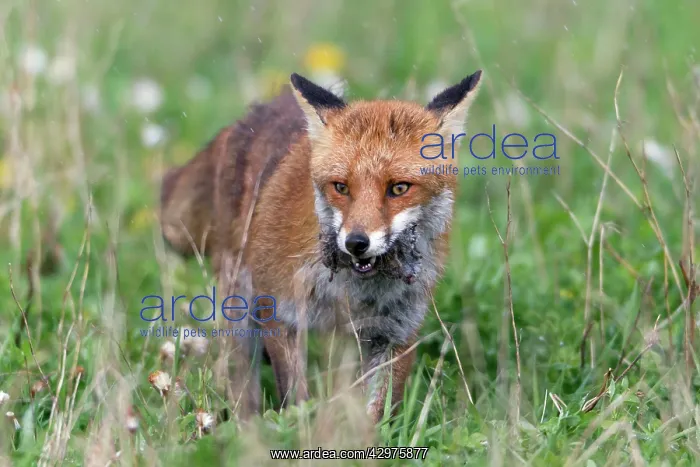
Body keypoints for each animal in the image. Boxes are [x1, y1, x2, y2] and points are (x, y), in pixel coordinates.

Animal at [159, 70, 482, 423]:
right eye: (341, 187)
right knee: (242, 382)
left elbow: (377, 411)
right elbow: (296, 396)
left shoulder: (397, 332)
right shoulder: (280, 313)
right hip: (240, 310)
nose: (356, 243)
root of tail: (250, 116)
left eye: (399, 188)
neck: (353, 291)